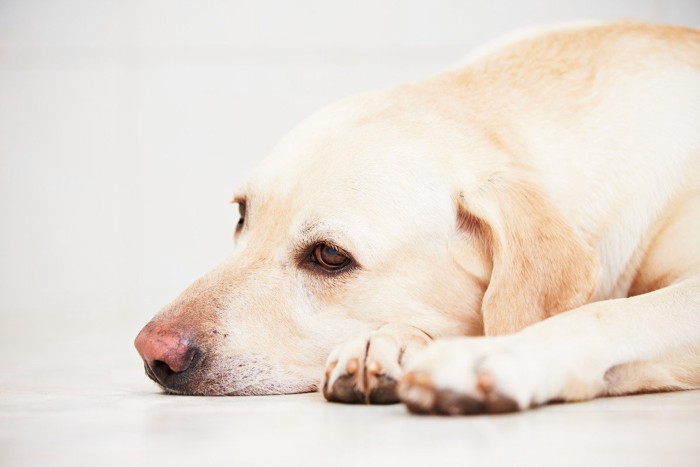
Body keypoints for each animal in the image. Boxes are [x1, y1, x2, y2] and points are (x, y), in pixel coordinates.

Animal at [133, 22, 700, 414]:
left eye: (330, 256)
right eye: (241, 215)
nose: (151, 352)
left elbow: (605, 314)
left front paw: (494, 359)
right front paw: (384, 343)